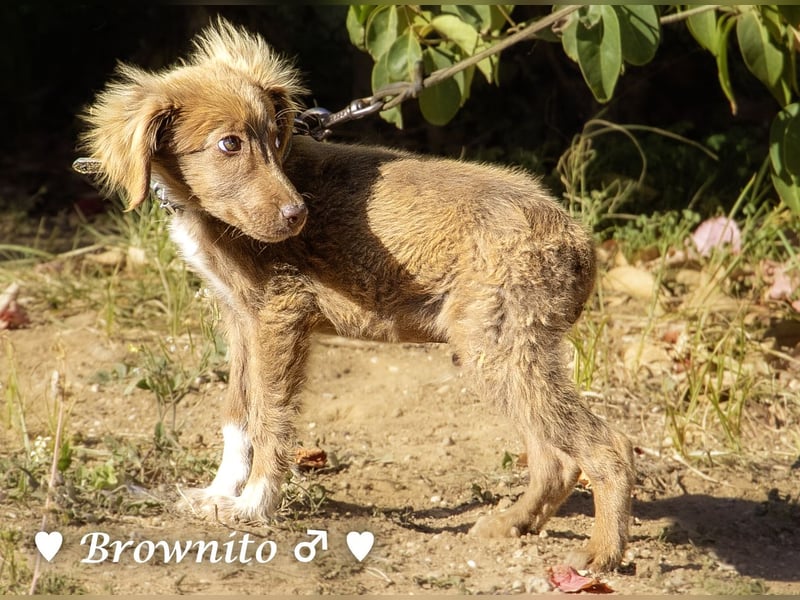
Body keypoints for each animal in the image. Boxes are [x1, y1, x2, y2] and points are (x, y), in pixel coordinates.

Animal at [78, 17, 636, 572]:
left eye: (271, 138)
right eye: (230, 144)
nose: (297, 216)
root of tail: (579, 241)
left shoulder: (280, 312)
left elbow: (270, 417)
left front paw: (254, 504)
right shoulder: (240, 319)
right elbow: (237, 412)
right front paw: (219, 493)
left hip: (499, 346)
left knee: (606, 446)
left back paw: (602, 554)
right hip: (502, 349)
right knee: (556, 459)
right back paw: (509, 525)